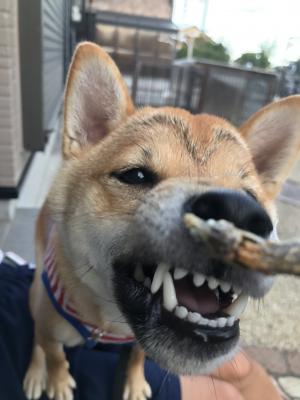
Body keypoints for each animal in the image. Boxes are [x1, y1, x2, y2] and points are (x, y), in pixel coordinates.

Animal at [23, 41, 300, 400]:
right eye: (136, 175)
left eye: (250, 196)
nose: (238, 211)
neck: (109, 326)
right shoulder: (50, 324)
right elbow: (55, 354)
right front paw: (57, 380)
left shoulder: (133, 344)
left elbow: (138, 355)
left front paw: (134, 382)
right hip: (37, 292)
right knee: (38, 338)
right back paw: (35, 371)